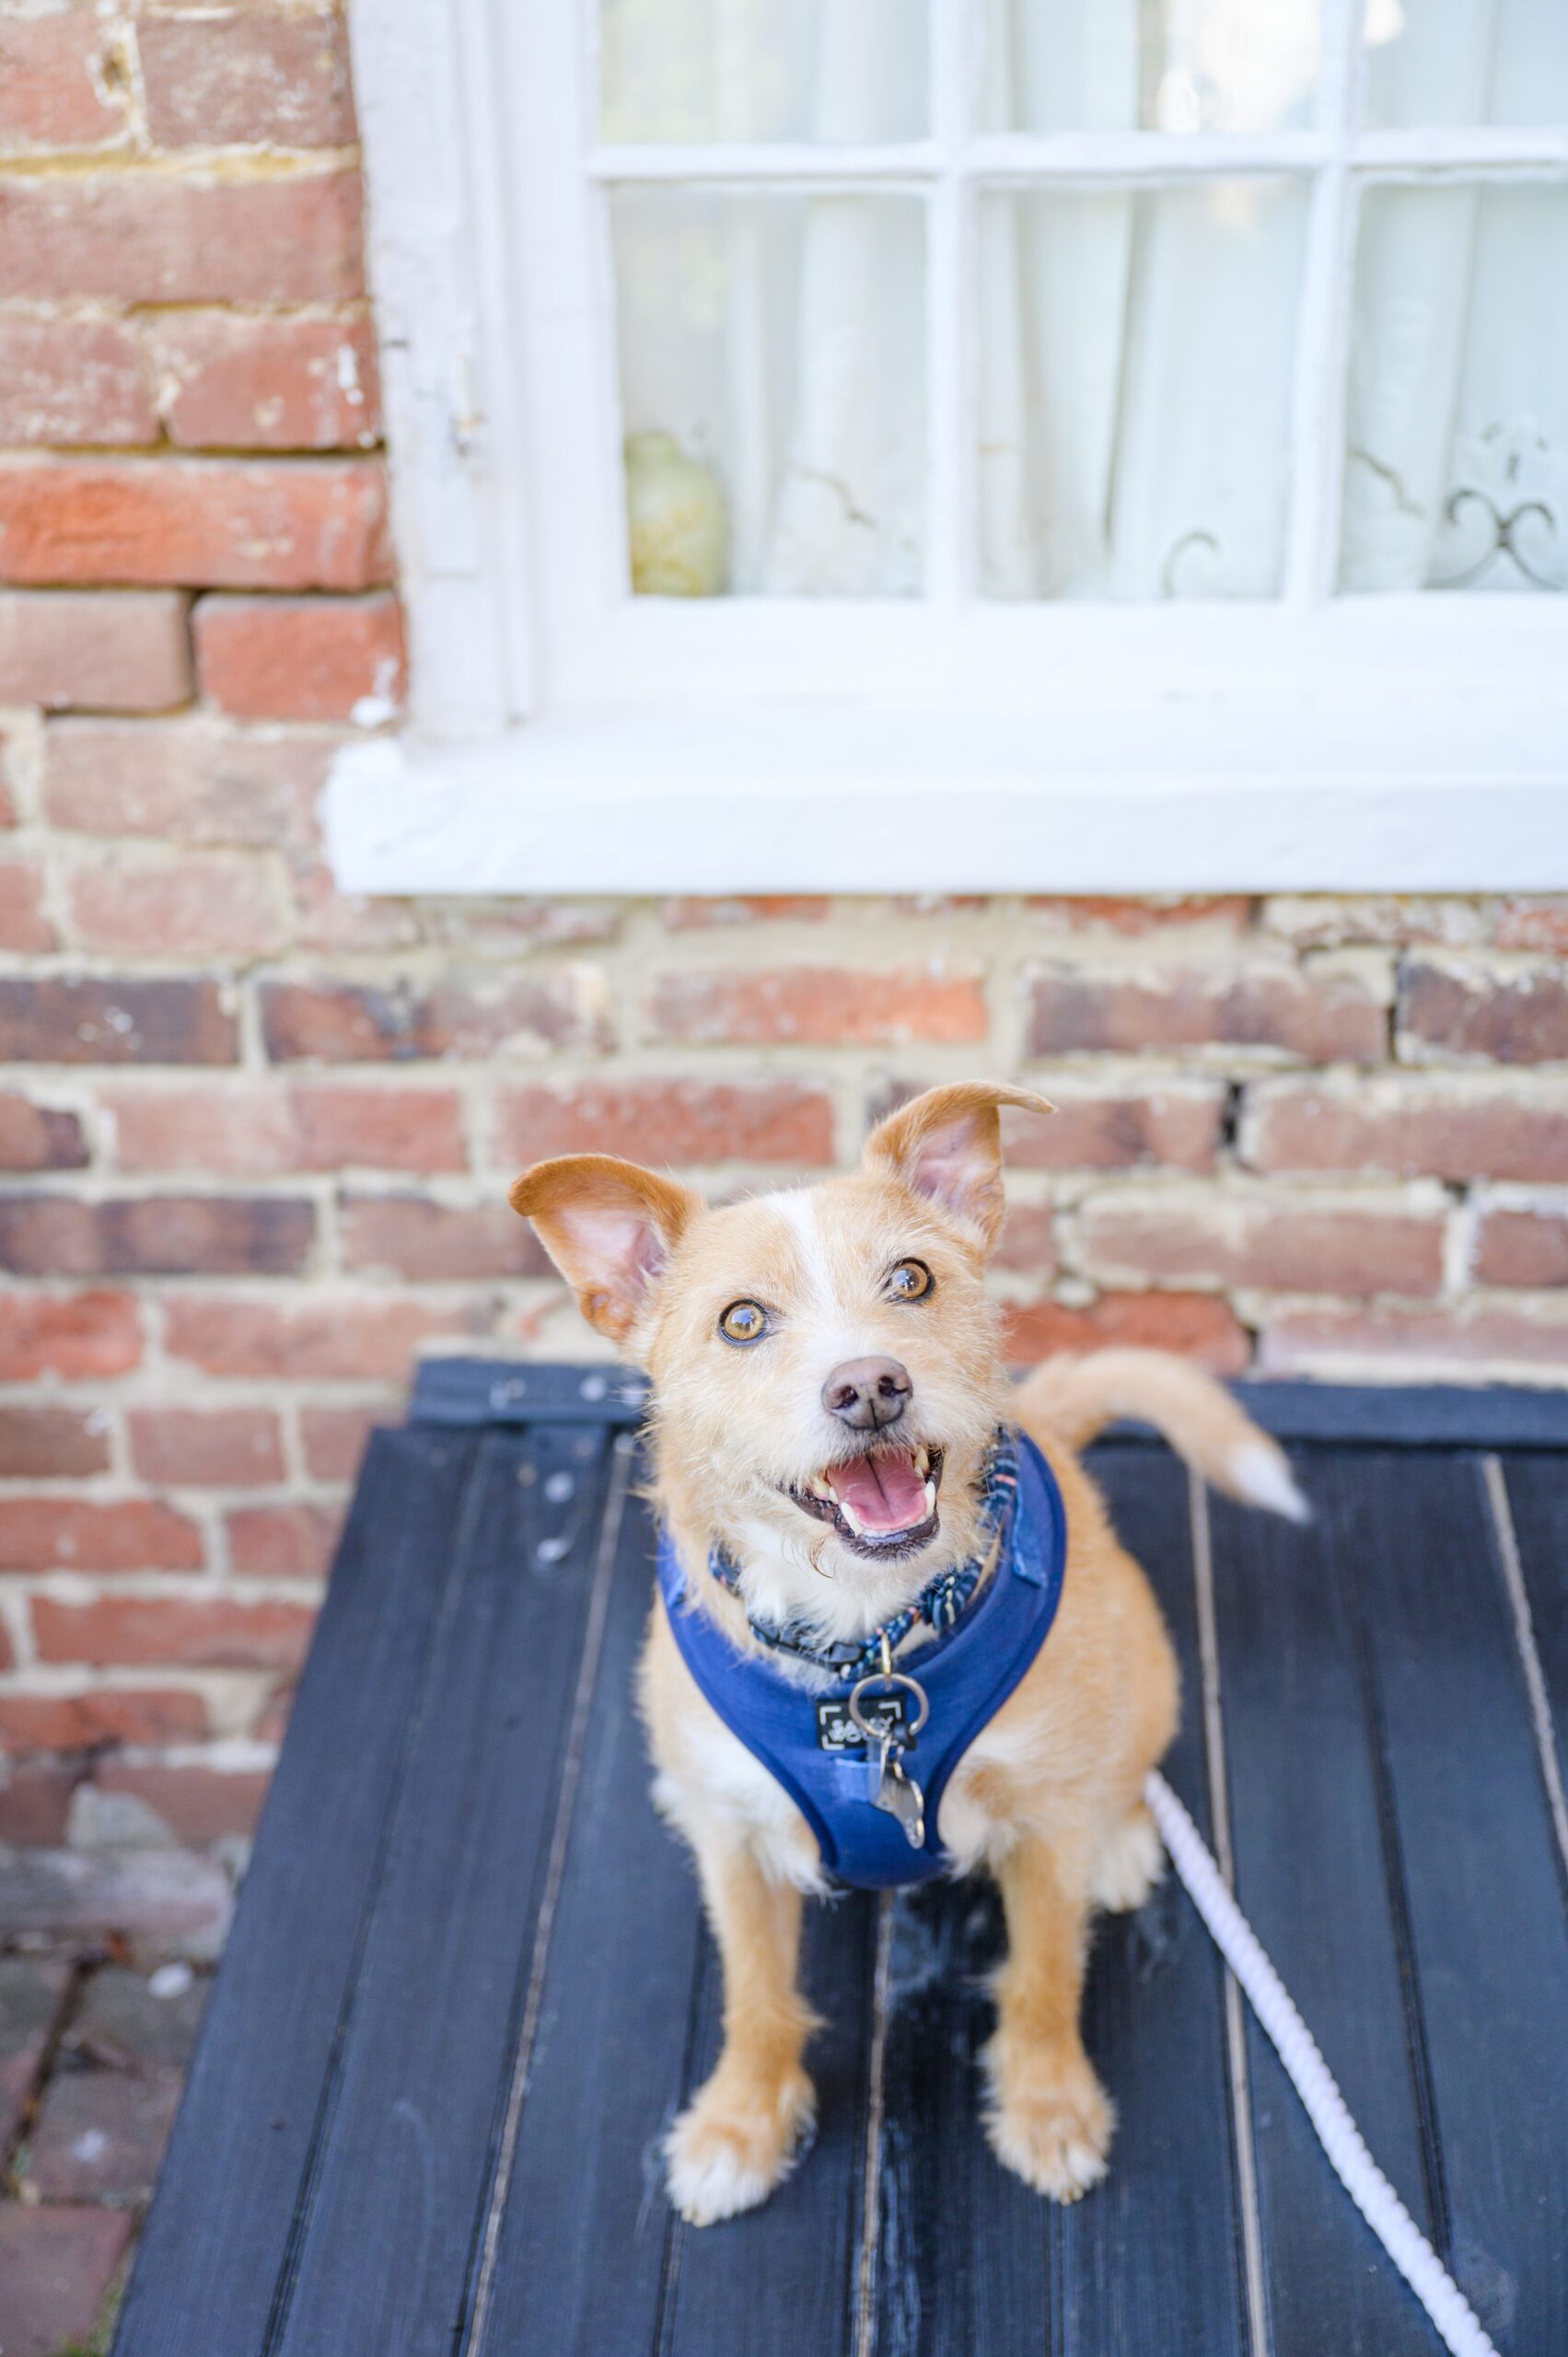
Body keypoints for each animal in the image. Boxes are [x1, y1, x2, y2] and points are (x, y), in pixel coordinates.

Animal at [511, 1084, 1292, 2224]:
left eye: (910, 1278)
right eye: (740, 1321)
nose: (869, 1385)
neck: (866, 1645)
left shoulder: (1042, 1823)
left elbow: (1043, 1978)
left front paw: (1048, 2107)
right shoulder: (732, 1842)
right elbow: (754, 1994)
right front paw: (740, 2124)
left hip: (1146, 1670)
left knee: (1124, 1769)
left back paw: (1121, 1841)